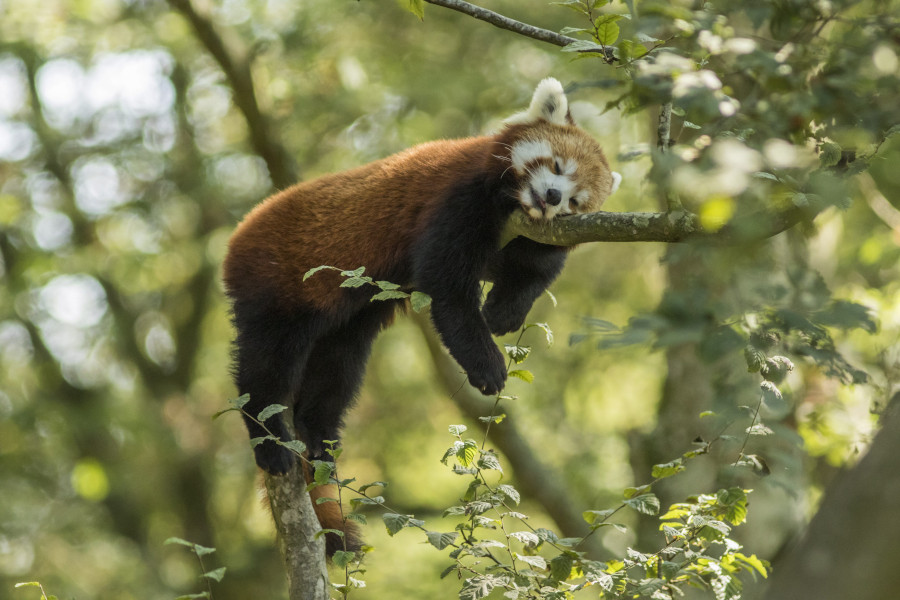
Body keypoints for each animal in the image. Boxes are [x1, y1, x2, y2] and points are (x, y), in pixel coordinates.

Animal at [224, 77, 620, 552]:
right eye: (557, 165)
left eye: (575, 202)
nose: (552, 196)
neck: (512, 204)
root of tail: (240, 235)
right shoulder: (456, 197)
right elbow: (447, 289)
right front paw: (488, 366)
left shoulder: (528, 237)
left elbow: (533, 272)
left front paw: (503, 313)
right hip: (277, 284)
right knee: (267, 366)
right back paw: (272, 444)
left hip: (346, 320)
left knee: (337, 371)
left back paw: (319, 439)